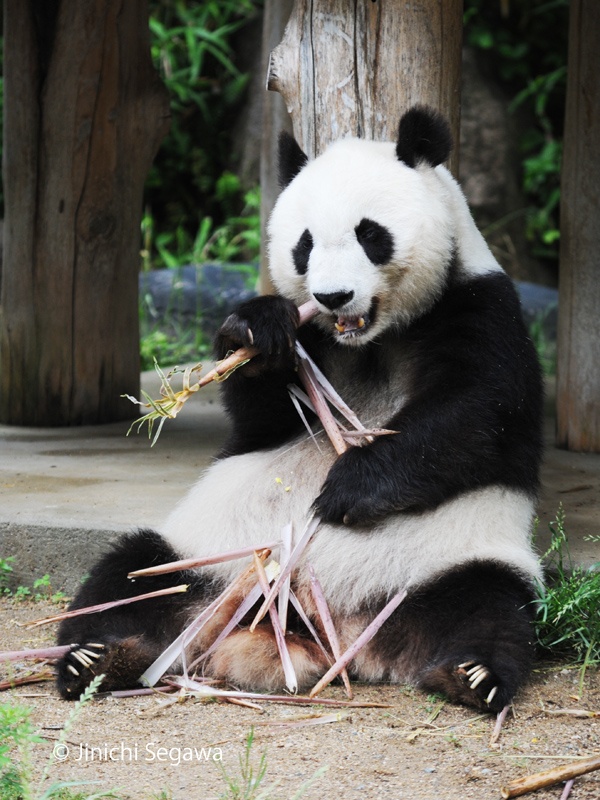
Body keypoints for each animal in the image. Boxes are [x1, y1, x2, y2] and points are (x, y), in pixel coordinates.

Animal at [56, 108, 544, 712]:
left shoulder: (479, 305)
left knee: (490, 605)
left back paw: (471, 674)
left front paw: (347, 487)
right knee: (130, 575)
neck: (370, 340)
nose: (333, 296)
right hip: (206, 557)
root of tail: (309, 621)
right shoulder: (309, 344)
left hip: (446, 563)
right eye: (304, 245)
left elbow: (478, 414)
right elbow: (259, 419)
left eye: (370, 235)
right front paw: (258, 332)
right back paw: (96, 659)